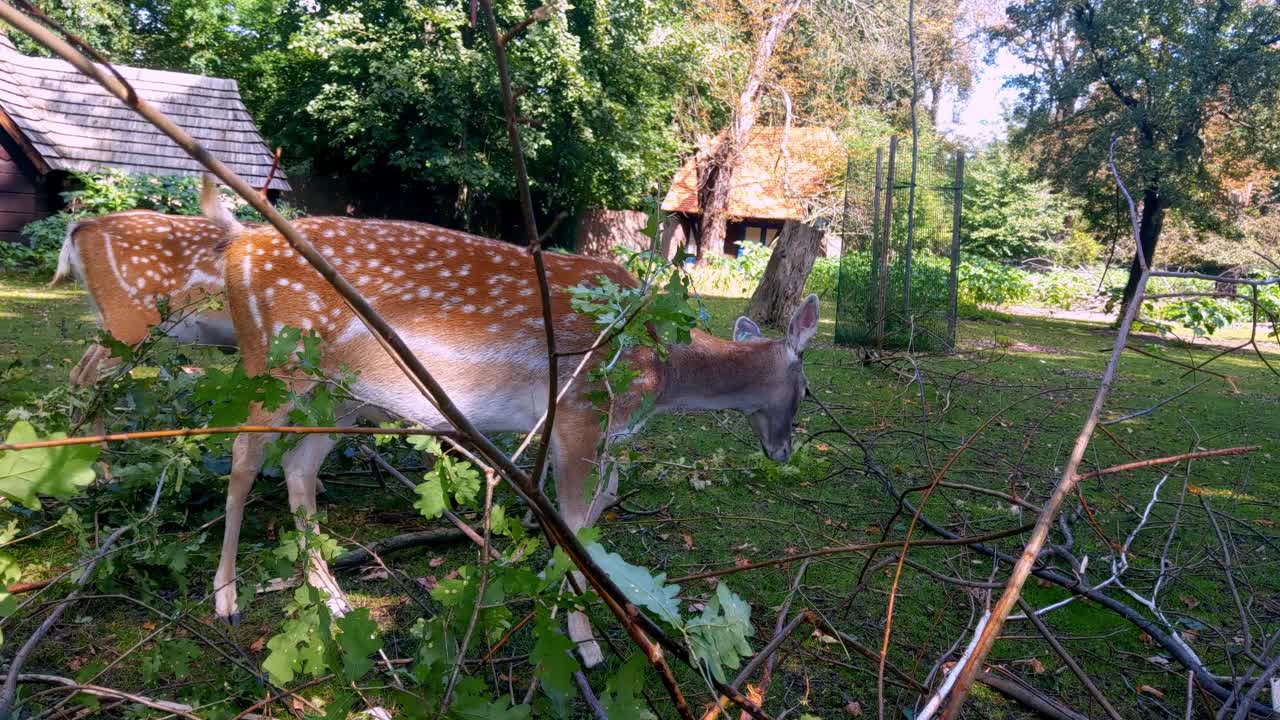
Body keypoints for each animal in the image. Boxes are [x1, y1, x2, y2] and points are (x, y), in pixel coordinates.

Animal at [200, 183, 819, 661]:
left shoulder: (603, 435)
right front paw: (585, 641)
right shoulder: (578, 414)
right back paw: (227, 600)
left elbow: (595, 510)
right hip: (270, 362)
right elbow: (574, 521)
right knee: (244, 455)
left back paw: (334, 599)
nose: (784, 451)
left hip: (341, 393)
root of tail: (236, 248)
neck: (660, 373)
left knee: (298, 465)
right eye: (806, 391)